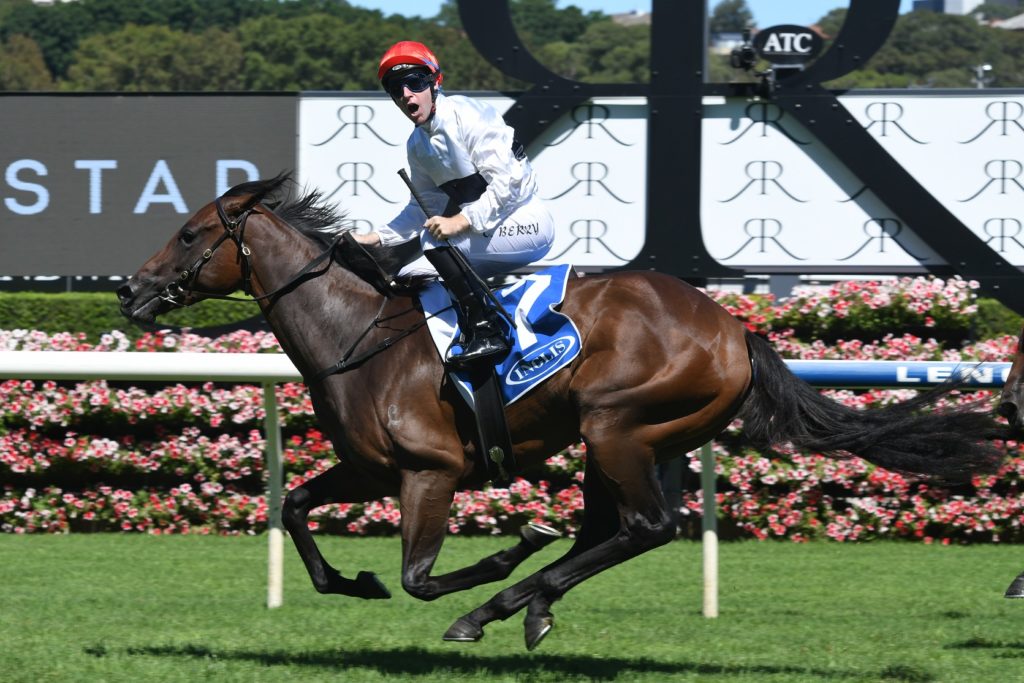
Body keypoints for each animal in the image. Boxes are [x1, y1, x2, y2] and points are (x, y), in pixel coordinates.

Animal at [118, 175, 1005, 650]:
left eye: (189, 232)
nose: (129, 289)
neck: (357, 334)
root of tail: (737, 330)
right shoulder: (370, 467)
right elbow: (297, 505)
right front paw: (349, 580)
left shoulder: (431, 470)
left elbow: (419, 575)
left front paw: (499, 555)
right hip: (629, 439)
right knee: (612, 531)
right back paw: (526, 604)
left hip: (619, 425)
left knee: (644, 527)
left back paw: (508, 597)